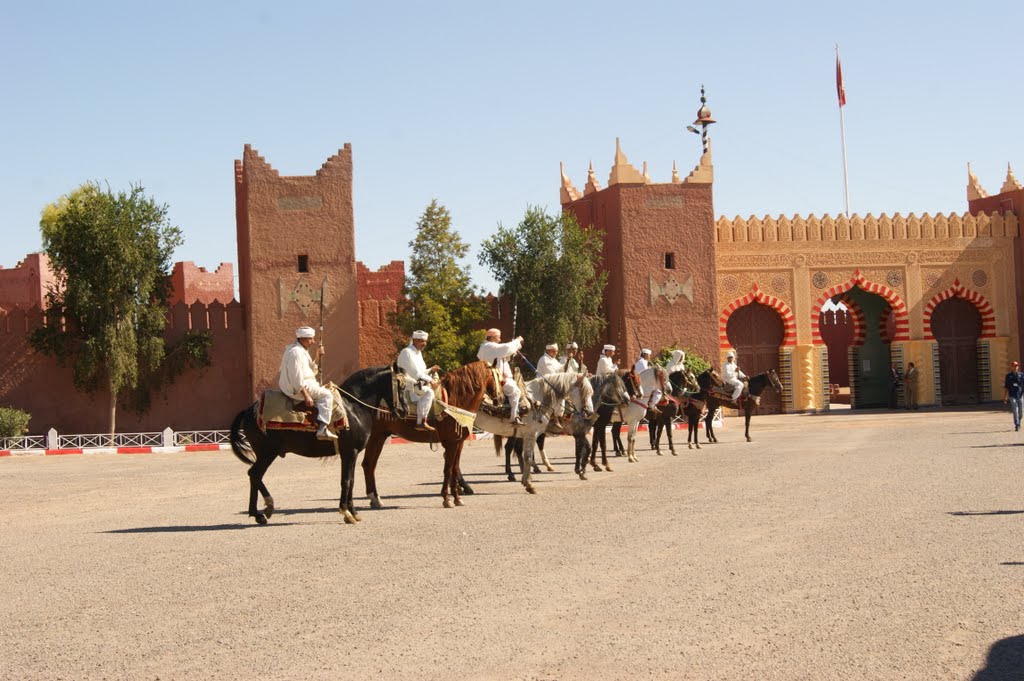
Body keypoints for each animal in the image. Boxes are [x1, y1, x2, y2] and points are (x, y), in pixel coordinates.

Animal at [230, 368, 405, 522]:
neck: (354, 408)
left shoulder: (349, 454)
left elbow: (350, 480)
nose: (403, 411)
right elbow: (347, 481)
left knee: (255, 476)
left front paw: (351, 511)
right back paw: (267, 507)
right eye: (401, 387)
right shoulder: (350, 452)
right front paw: (347, 512)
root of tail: (250, 410)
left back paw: (258, 513)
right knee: (254, 474)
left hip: (265, 454)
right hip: (267, 453)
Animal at [362, 358, 497, 507]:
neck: (456, 400)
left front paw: (457, 498)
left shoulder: (459, 443)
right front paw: (447, 499)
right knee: (368, 464)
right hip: (374, 437)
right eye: (497, 375)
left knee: (369, 464)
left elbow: (455, 469)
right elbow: (448, 469)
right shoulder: (451, 443)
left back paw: (375, 498)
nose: (499, 397)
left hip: (379, 436)